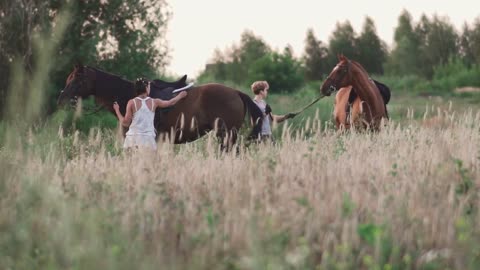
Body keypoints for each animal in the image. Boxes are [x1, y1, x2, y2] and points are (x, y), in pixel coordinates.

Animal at [59, 64, 266, 148]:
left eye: (77, 79)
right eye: (68, 77)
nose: (62, 98)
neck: (129, 95)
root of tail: (236, 93)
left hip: (227, 135)